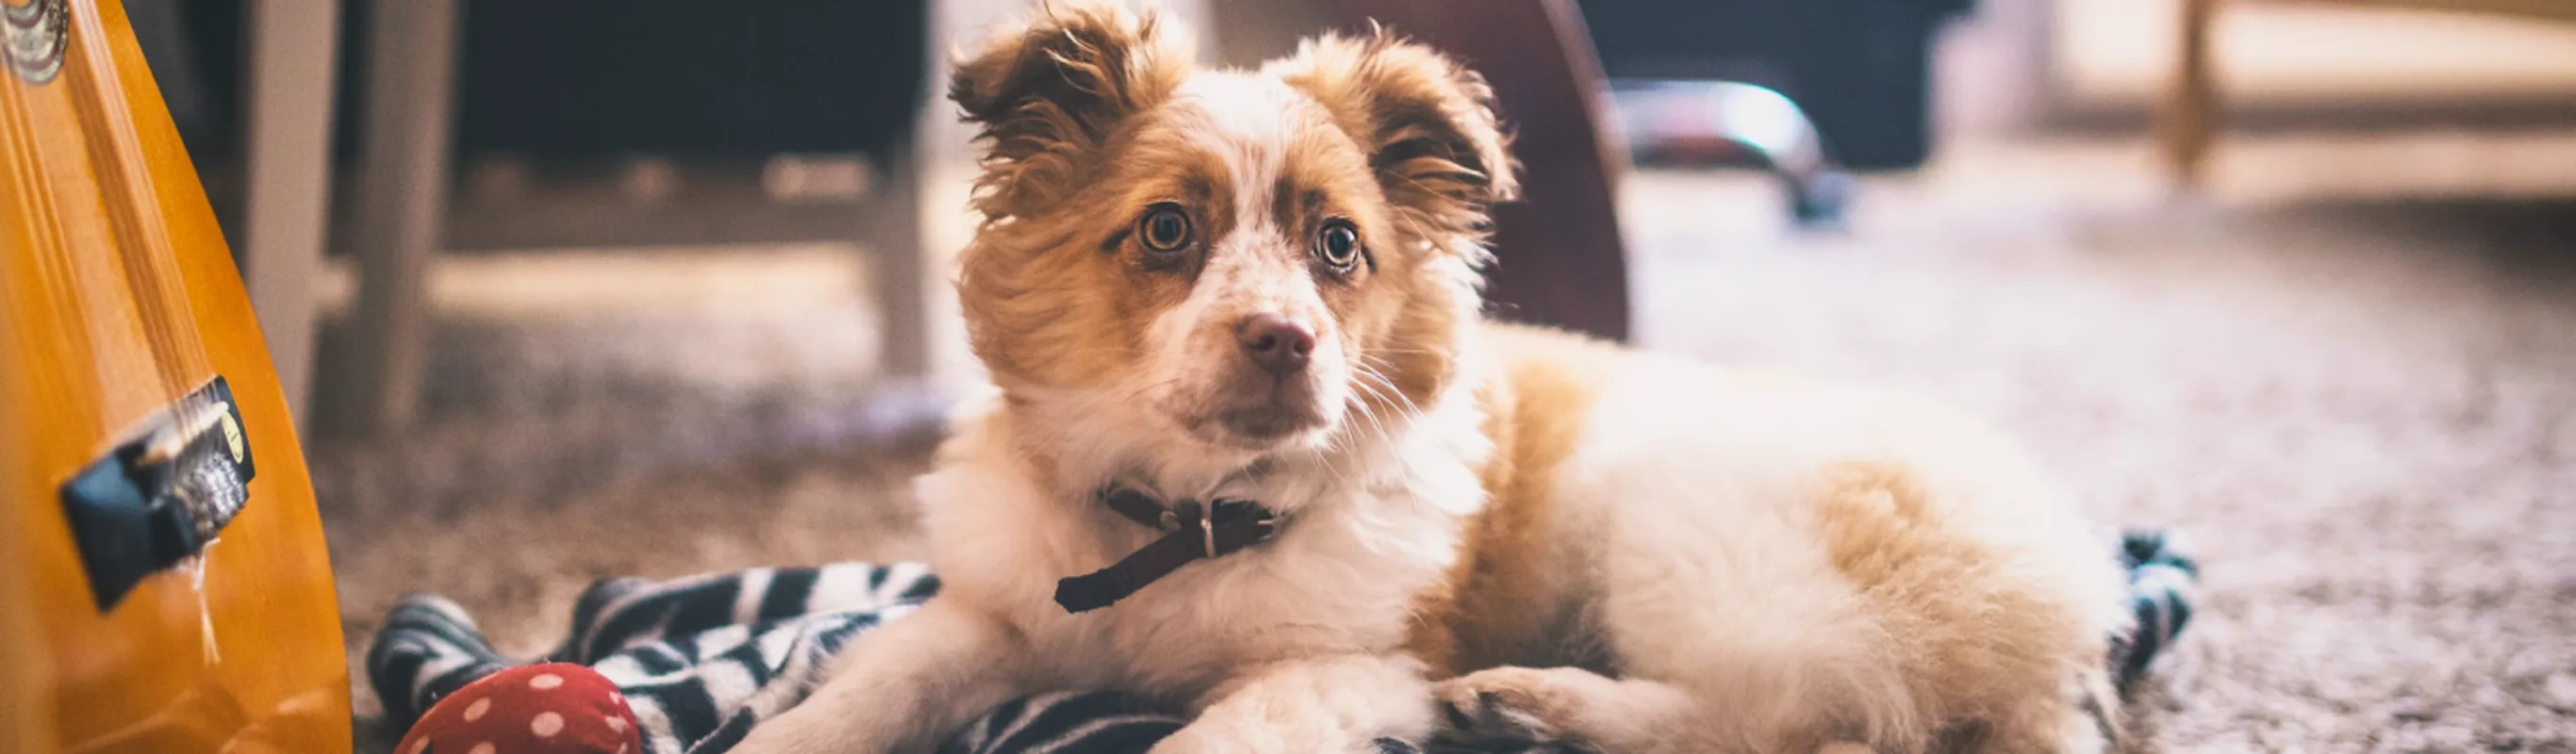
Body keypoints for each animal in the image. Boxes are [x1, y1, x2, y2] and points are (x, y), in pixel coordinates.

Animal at [731, 7, 2133, 751]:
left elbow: (1208, 734)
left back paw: (1535, 700)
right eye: (1166, 231)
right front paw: (783, 729)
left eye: (1337, 245)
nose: (1283, 341)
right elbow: (878, 679)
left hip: (1699, 540)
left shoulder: (1356, 661)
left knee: (1764, 722)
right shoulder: (993, 612)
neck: (1181, 523)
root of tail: (2070, 603)